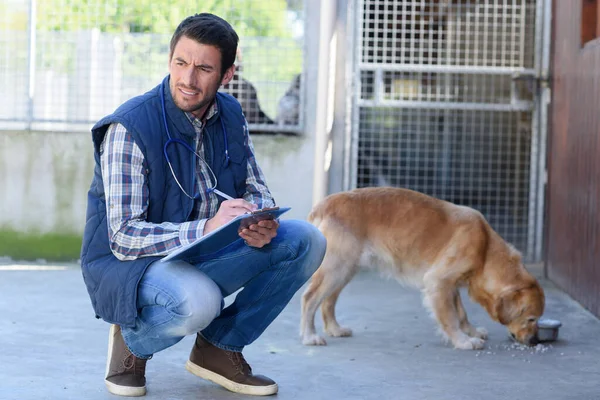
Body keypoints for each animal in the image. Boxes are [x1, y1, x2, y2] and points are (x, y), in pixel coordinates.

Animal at [300, 188, 544, 350]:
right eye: (532, 319)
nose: (535, 341)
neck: (485, 248)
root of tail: (322, 205)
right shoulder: (438, 281)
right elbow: (450, 317)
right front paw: (463, 341)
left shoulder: (450, 285)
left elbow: (461, 313)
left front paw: (471, 331)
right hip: (337, 268)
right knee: (310, 298)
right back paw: (310, 336)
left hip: (346, 270)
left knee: (328, 302)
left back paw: (335, 328)